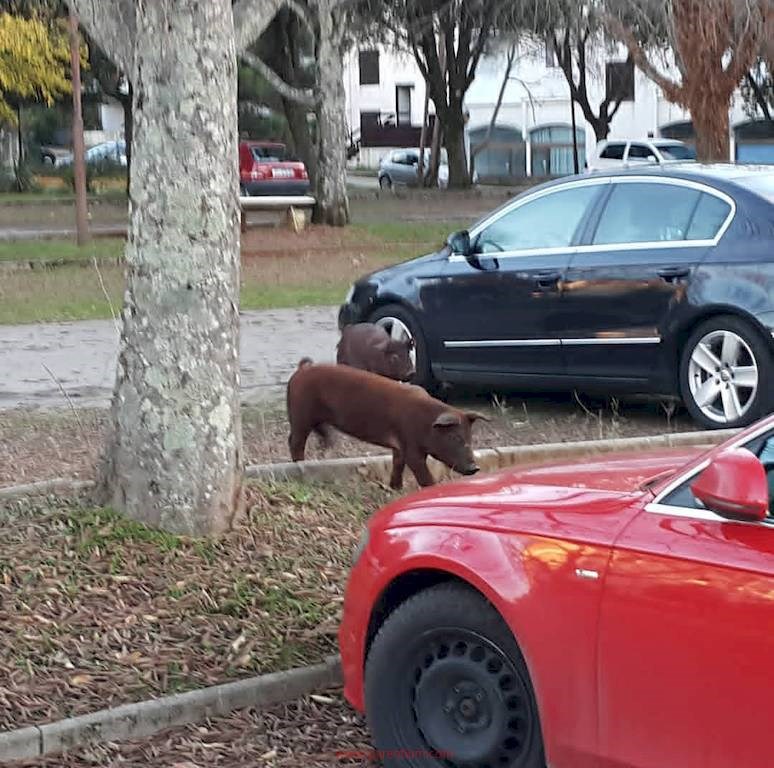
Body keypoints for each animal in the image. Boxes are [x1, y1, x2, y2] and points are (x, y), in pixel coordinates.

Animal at [284, 358, 492, 488]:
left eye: (470, 438)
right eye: (455, 438)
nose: (475, 468)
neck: (425, 420)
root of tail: (301, 369)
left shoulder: (399, 445)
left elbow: (397, 464)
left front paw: (395, 488)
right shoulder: (411, 446)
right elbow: (421, 473)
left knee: (318, 433)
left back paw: (326, 449)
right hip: (300, 413)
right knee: (295, 441)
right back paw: (300, 464)